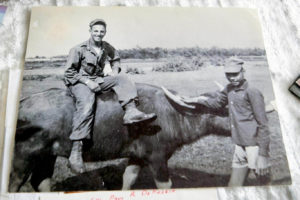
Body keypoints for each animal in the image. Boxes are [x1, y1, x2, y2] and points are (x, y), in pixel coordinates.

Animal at [8, 83, 230, 192]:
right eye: (226, 108)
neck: (173, 113)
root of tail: (22, 104)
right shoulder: (157, 158)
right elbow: (165, 186)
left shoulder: (137, 157)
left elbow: (128, 180)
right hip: (24, 156)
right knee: (15, 182)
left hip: (47, 156)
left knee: (41, 181)